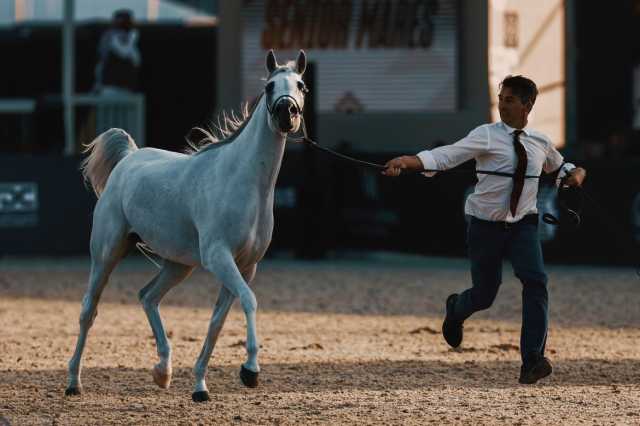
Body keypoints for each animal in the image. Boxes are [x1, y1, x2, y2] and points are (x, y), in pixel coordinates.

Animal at [69, 50, 308, 402]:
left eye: (301, 85)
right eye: (269, 87)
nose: (285, 113)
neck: (242, 180)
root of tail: (128, 158)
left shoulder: (245, 266)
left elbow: (216, 324)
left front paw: (200, 387)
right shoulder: (219, 257)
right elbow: (249, 300)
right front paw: (250, 371)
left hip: (177, 264)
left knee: (147, 297)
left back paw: (162, 372)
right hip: (107, 253)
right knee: (89, 310)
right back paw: (73, 382)